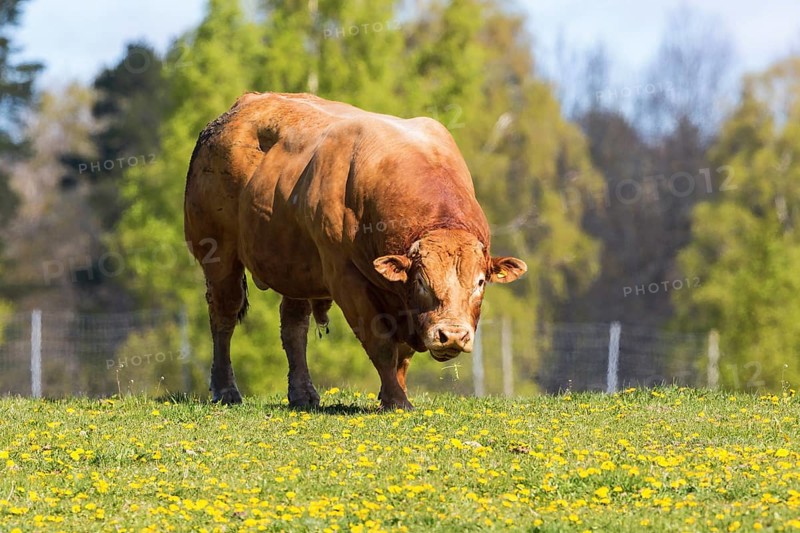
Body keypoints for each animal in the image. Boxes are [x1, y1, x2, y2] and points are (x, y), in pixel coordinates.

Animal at [184, 92, 527, 410]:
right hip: (219, 254)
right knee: (224, 315)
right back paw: (225, 390)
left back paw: (303, 394)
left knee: (293, 326)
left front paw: (393, 394)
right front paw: (396, 399)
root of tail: (240, 107)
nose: (452, 334)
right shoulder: (347, 280)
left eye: (480, 282)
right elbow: (381, 344)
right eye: (421, 282)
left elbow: (402, 354)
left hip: (294, 267)